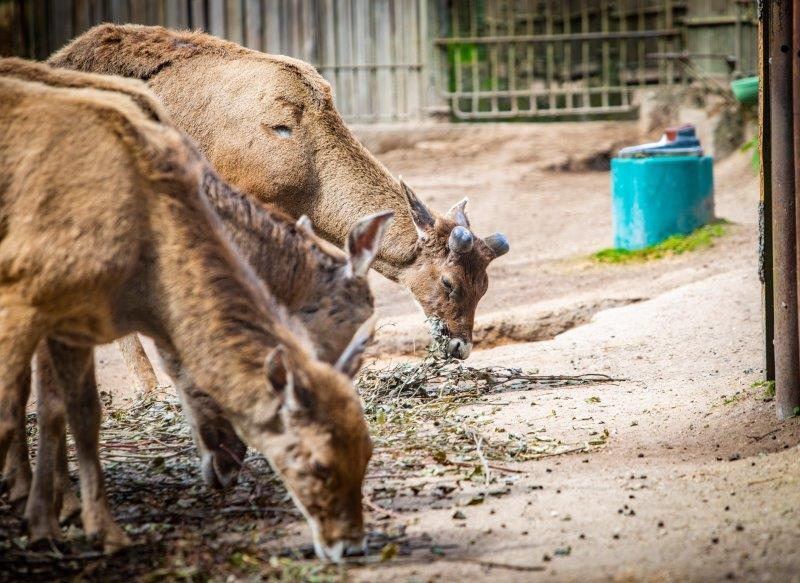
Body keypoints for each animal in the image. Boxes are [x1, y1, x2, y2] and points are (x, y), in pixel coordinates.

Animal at [0, 68, 374, 560]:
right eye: (339, 327)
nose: (231, 466)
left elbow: (54, 402)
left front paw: (50, 503)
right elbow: (46, 403)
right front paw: (50, 509)